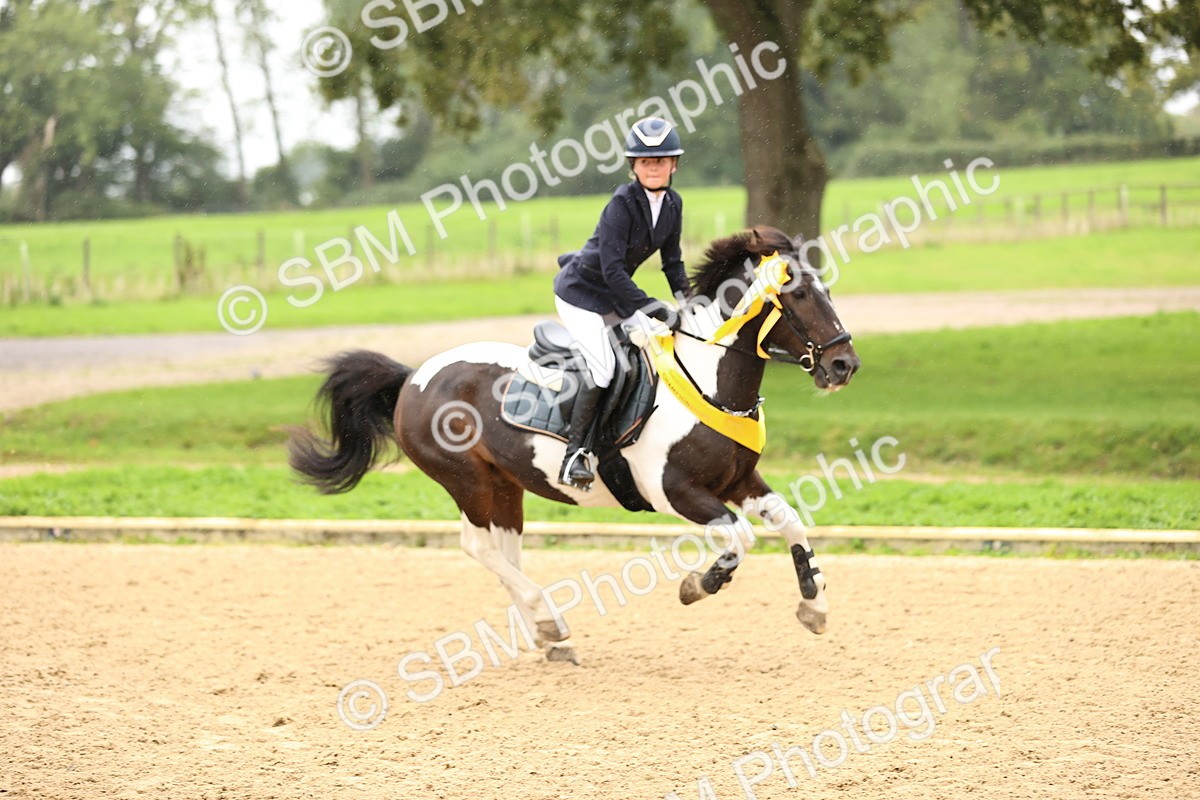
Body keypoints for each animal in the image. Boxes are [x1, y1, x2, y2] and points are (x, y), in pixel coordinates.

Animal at [288, 225, 860, 665]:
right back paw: (550, 623)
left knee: (506, 550)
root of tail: (412, 377)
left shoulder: (738, 480)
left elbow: (789, 520)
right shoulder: (674, 490)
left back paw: (548, 635)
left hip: (506, 483)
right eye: (799, 296)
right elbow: (739, 536)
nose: (843, 365)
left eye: (828, 290)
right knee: (478, 547)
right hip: (466, 479)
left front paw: (814, 606)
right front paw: (697, 586)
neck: (709, 380)